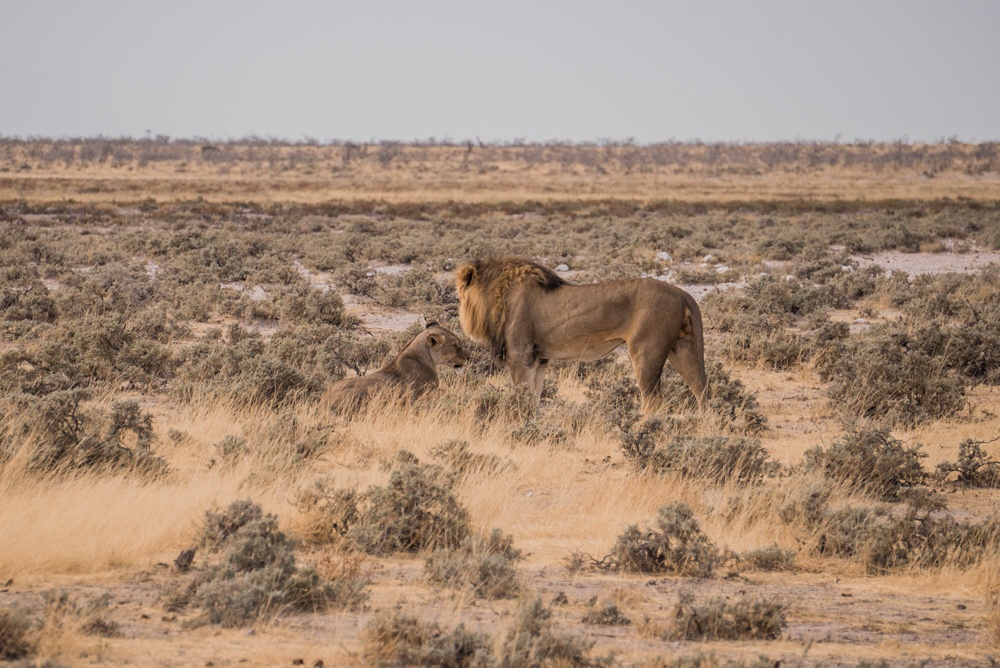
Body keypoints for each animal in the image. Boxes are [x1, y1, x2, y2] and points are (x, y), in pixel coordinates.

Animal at [458, 258, 708, 410]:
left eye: (460, 295)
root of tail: (682, 293)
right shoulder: (539, 358)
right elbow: (535, 396)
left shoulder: (521, 355)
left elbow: (522, 394)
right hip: (683, 348)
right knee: (702, 390)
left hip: (646, 351)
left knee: (653, 401)